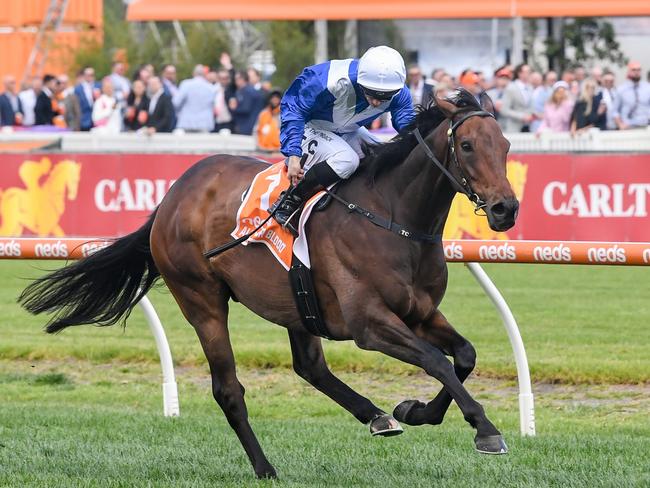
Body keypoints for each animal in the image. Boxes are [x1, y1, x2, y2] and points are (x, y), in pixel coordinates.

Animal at [19, 89, 516, 478]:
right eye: (467, 145)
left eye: (507, 145)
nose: (505, 209)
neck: (392, 217)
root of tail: (173, 196)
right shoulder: (370, 324)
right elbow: (436, 360)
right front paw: (485, 429)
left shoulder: (420, 312)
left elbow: (464, 355)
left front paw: (413, 411)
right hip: (201, 300)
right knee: (228, 390)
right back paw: (264, 467)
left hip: (297, 305)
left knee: (310, 367)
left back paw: (375, 416)